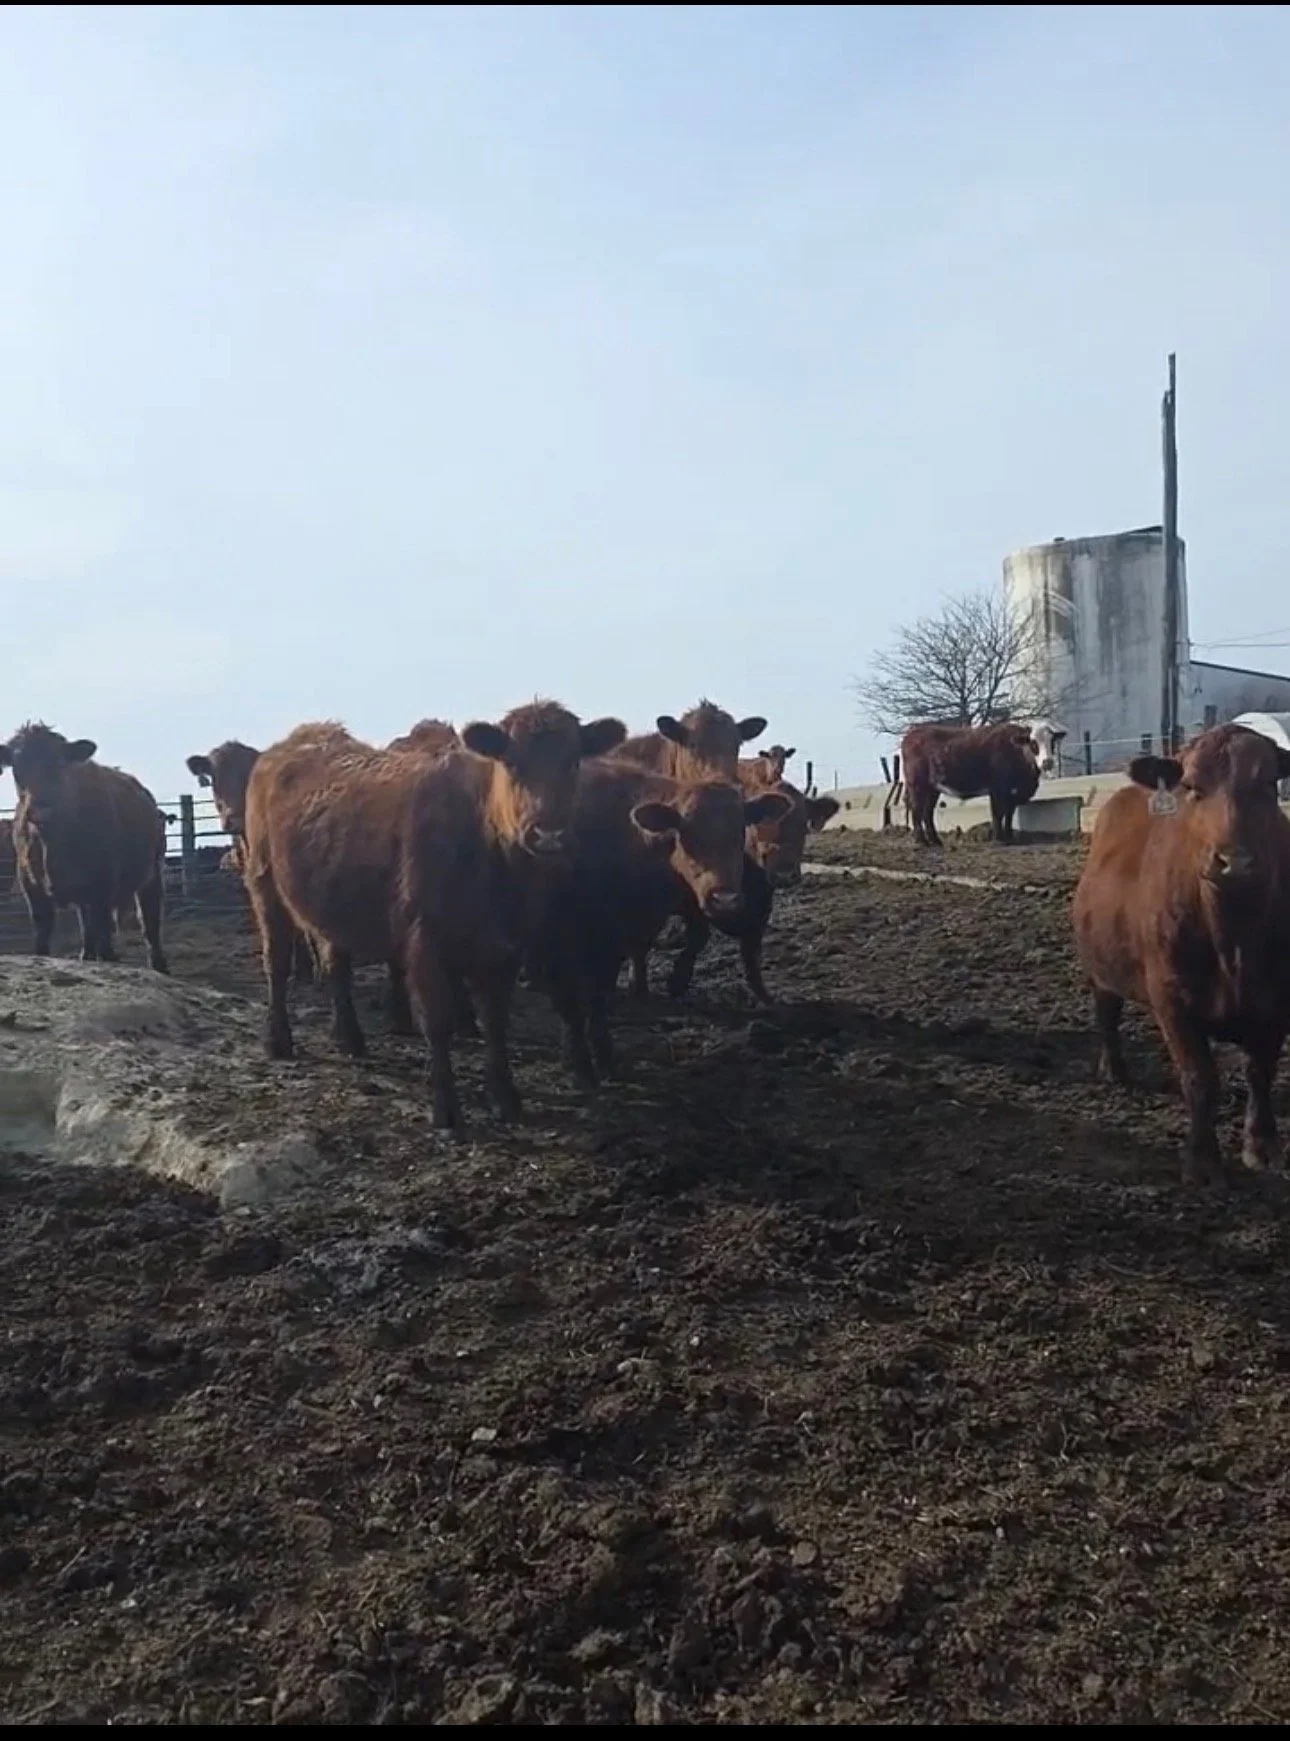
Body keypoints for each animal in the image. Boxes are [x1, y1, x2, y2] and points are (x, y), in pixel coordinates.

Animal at [0, 723, 168, 970]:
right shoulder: (30, 885)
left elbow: (103, 927)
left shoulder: (104, 882)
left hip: (153, 871)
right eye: (16, 768)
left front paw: (106, 957)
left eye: (59, 764)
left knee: (149, 919)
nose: (41, 810)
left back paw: (158, 965)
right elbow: (43, 932)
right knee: (86, 921)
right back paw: (86, 954)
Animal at [535, 763, 791, 1077]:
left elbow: (602, 992)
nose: (725, 899)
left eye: (740, 830)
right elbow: (572, 999)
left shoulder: (621, 937)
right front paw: (578, 1059)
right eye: (685, 831)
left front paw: (604, 1054)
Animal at [900, 721, 1040, 846]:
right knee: (916, 809)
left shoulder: (1013, 793)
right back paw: (921, 841)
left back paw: (935, 841)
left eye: (1049, 741)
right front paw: (999, 840)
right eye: (1033, 743)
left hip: (932, 788)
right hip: (917, 784)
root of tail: (911, 734)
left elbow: (1009, 815)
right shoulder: (997, 789)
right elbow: (998, 813)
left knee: (927, 812)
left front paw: (1010, 837)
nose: (1045, 762)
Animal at [1072, 723, 1290, 1184]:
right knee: (1107, 1016)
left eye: (1267, 783)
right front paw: (1202, 1158)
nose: (1235, 861)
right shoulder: (1171, 998)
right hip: (1101, 970)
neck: (1233, 941)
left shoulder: (1278, 999)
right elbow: (1198, 1076)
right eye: (1192, 787)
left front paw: (1262, 1147)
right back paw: (1114, 1071)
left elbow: (1260, 1071)